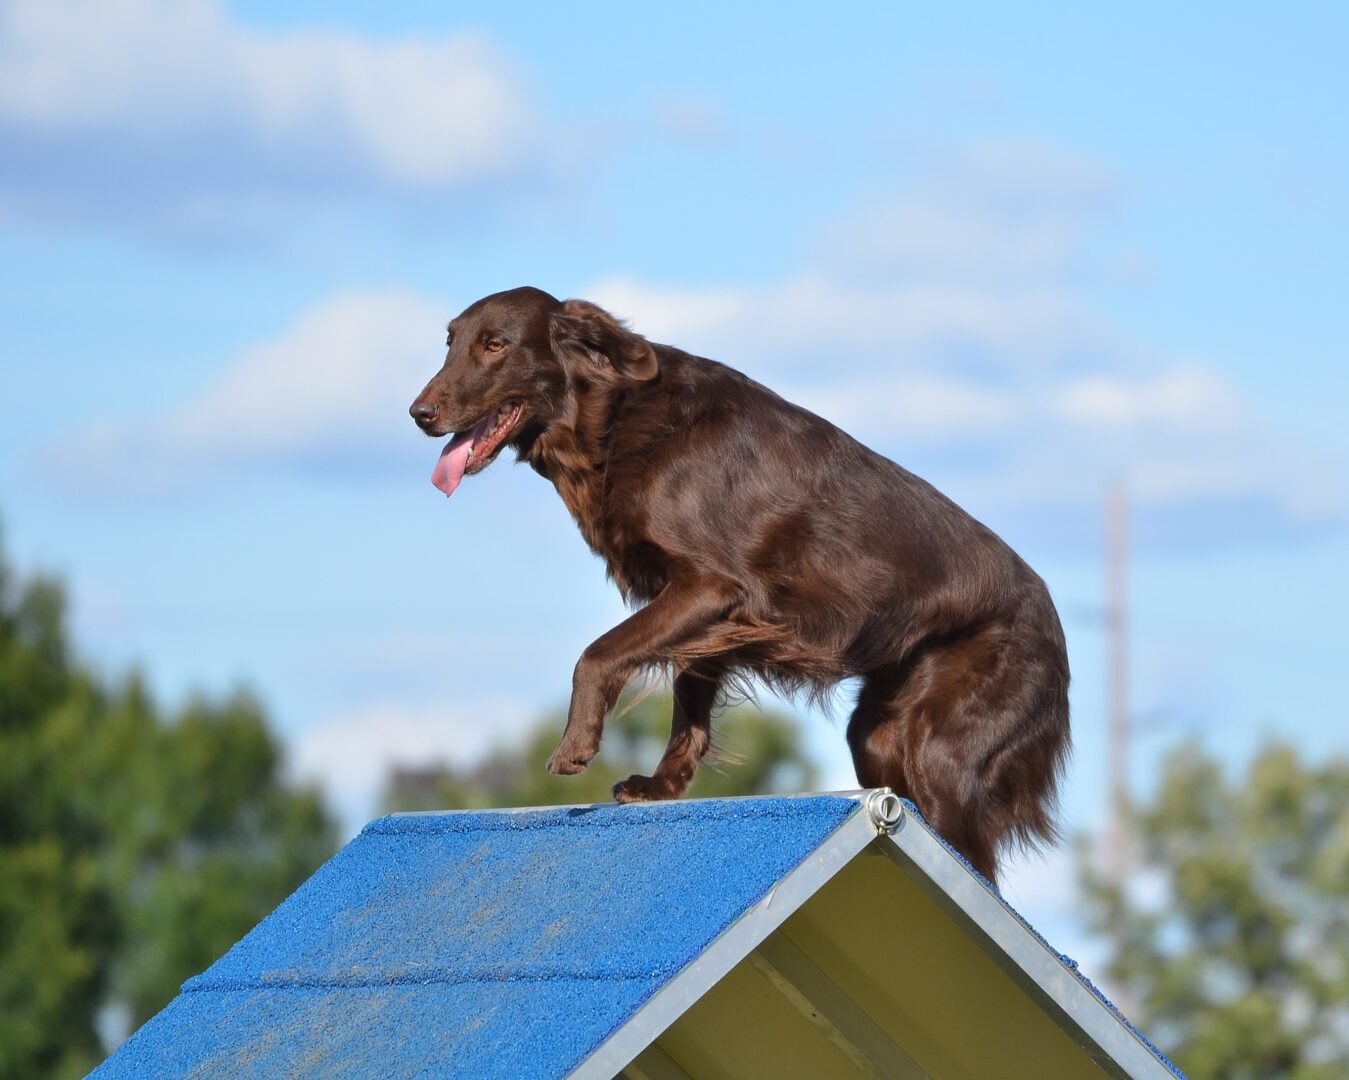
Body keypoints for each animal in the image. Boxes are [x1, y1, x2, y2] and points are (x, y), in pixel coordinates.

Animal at [410, 285, 1073, 884]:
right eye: (450, 343)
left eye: (496, 345)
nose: (419, 415)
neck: (618, 420)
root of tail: (1054, 625)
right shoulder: (702, 610)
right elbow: (688, 695)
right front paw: (662, 786)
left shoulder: (714, 587)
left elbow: (599, 653)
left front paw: (576, 745)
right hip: (880, 734)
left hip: (939, 750)